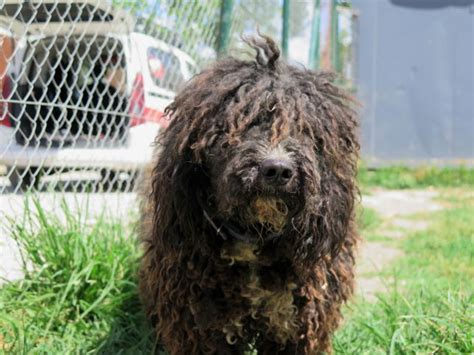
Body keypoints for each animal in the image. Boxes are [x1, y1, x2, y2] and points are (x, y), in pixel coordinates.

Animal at [140, 34, 360, 355]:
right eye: (234, 128)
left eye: (307, 131)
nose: (278, 170)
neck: (256, 237)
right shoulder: (201, 325)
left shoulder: (297, 324)